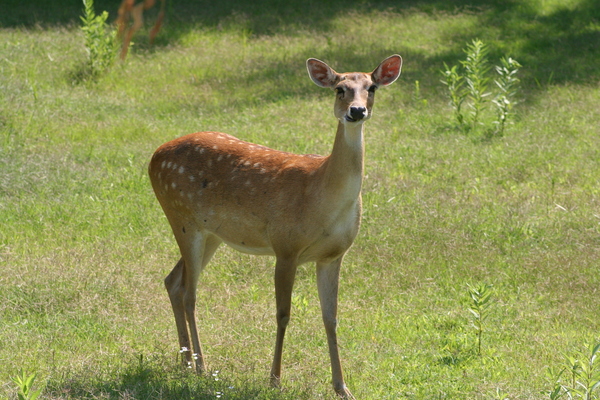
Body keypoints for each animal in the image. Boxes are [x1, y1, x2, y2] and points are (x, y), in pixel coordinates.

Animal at [148, 54, 404, 398]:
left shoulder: (334, 255)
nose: (357, 111)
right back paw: (201, 366)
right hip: (181, 215)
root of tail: (154, 155)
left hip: (211, 232)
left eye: (372, 87)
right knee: (189, 292)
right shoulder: (285, 246)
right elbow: (283, 314)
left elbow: (331, 317)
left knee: (172, 281)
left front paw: (342, 386)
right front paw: (275, 380)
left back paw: (185, 362)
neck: (322, 195)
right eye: (339, 88)